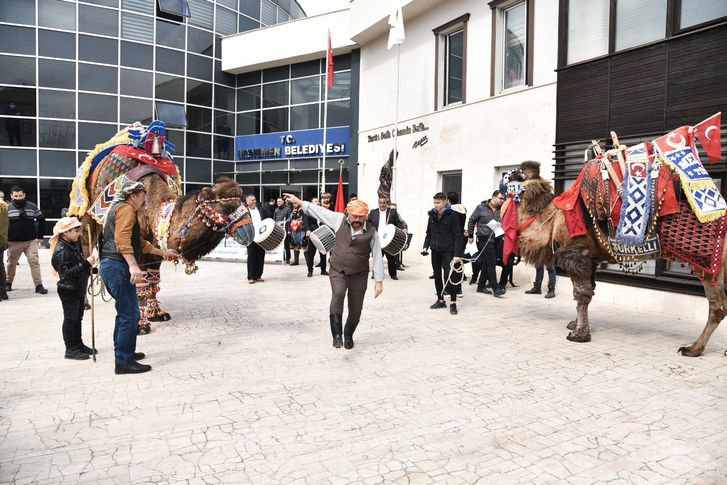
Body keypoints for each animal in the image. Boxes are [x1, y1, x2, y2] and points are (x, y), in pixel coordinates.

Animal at [67, 121, 256, 332]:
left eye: (242, 201)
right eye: (226, 205)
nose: (250, 231)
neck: (151, 204)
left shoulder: (155, 247)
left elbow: (153, 279)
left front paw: (156, 314)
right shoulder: (137, 245)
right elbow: (140, 283)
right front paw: (140, 325)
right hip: (86, 218)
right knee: (87, 250)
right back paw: (85, 303)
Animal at [506, 114, 727, 356]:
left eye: (514, 177)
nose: (502, 184)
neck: (554, 218)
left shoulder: (576, 254)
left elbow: (582, 294)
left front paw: (579, 334)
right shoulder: (591, 258)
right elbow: (588, 292)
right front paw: (575, 324)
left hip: (710, 262)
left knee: (717, 305)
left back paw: (693, 348)